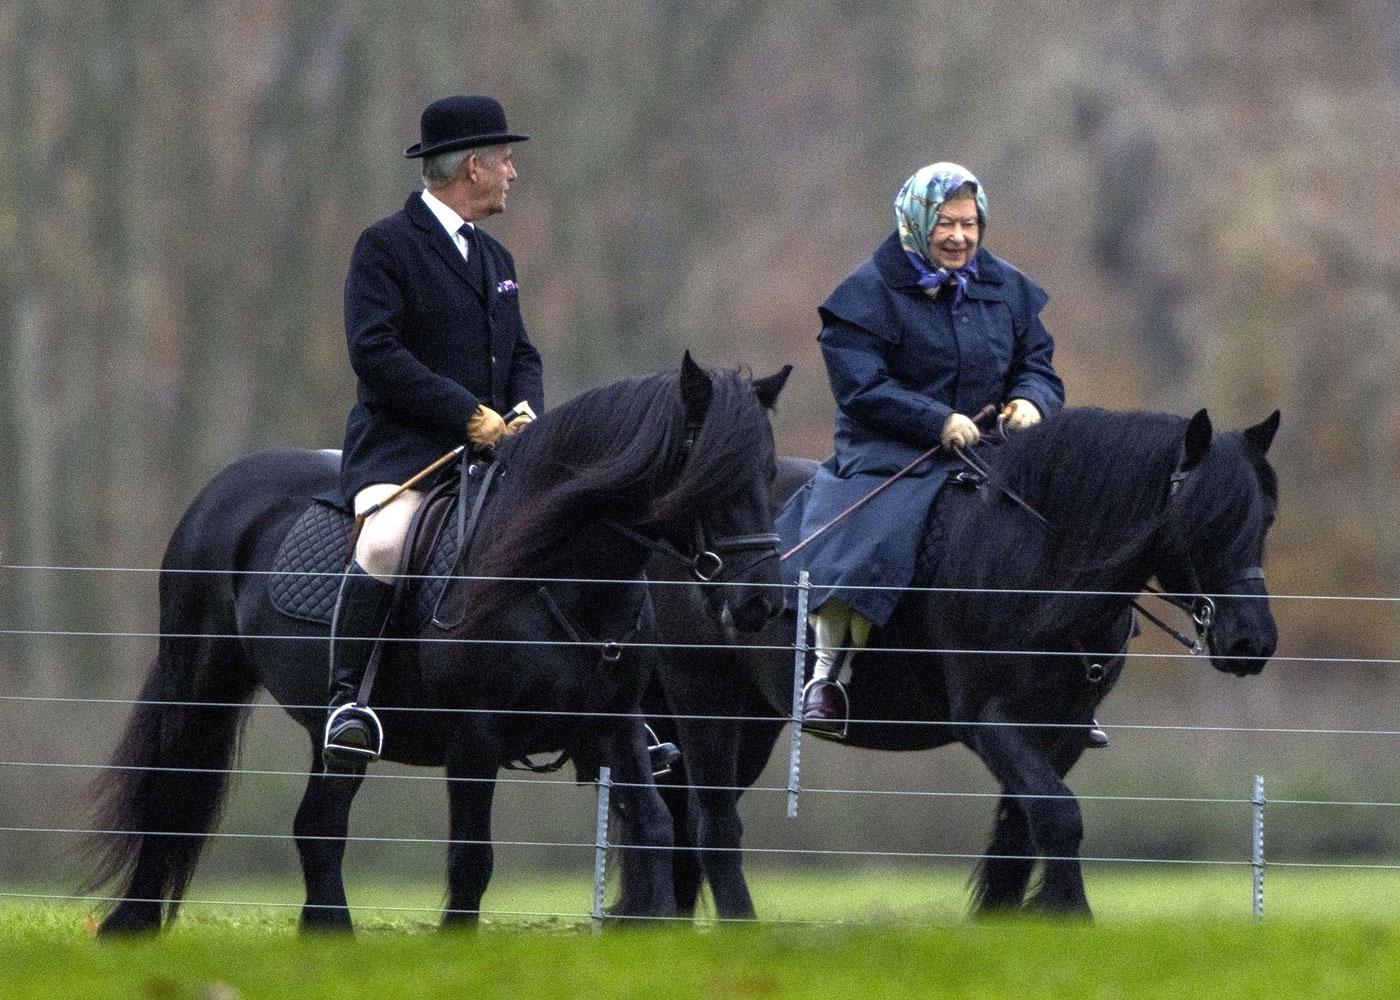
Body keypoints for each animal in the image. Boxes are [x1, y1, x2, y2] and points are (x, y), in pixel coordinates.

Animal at [84, 354, 789, 929]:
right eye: (712, 473)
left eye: (769, 472)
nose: (762, 602)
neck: (554, 573)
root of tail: (223, 487)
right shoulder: (474, 736)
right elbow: (473, 859)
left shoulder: (613, 725)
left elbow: (653, 830)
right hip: (200, 679)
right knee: (172, 791)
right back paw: (130, 926)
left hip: (326, 728)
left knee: (318, 826)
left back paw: (329, 938)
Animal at [644, 406, 1282, 918]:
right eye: (1203, 517)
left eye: (1265, 519)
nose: (1252, 642)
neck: (1037, 567)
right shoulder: (988, 722)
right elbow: (1058, 816)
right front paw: (1072, 918)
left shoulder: (1063, 730)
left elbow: (1020, 832)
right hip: (704, 695)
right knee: (712, 824)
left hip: (754, 720)